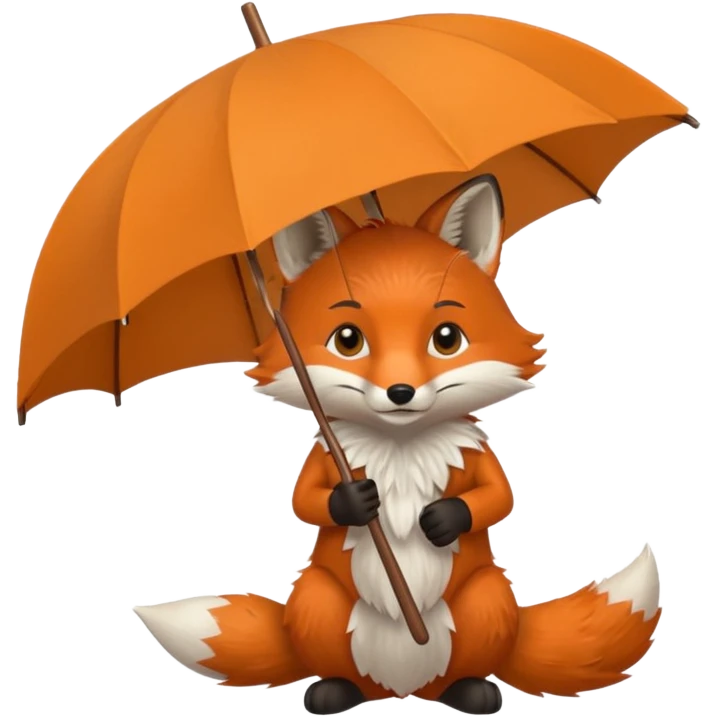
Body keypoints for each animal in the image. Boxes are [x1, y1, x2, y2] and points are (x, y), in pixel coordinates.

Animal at [132, 175, 663, 715]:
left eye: (446, 338)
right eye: (348, 340)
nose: (401, 392)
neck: (401, 445)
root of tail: (402, 687)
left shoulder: (479, 459)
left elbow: (498, 497)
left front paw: (442, 519)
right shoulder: (325, 460)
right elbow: (304, 501)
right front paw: (353, 501)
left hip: (487, 598)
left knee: (464, 666)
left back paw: (469, 690)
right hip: (318, 601)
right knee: (342, 671)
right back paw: (335, 691)